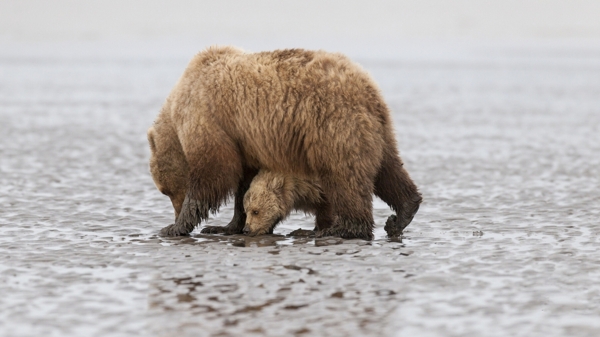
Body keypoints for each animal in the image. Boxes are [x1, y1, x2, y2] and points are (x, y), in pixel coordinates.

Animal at [148, 45, 422, 239]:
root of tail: (368, 89)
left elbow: (213, 171)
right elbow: (244, 184)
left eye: (166, 191)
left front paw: (175, 226)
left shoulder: (211, 119)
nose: (174, 210)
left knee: (344, 175)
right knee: (388, 169)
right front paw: (227, 225)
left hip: (332, 124)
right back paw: (402, 213)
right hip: (377, 131)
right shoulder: (245, 141)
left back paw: (338, 229)